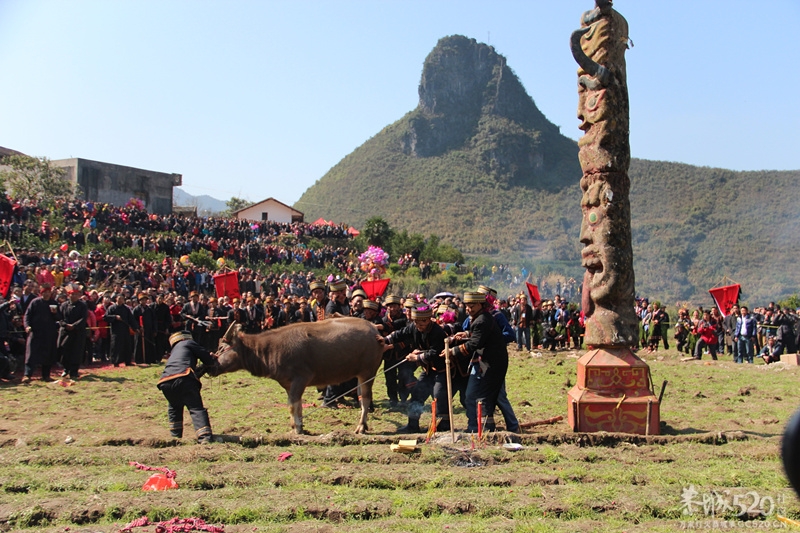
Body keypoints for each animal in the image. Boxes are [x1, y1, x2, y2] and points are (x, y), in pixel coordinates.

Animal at [202, 316, 386, 432]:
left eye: (221, 347)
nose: (209, 367)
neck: (270, 349)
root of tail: (374, 329)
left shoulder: (301, 378)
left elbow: (291, 404)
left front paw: (297, 428)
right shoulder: (288, 384)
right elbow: (296, 404)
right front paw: (298, 423)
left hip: (368, 372)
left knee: (366, 399)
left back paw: (361, 426)